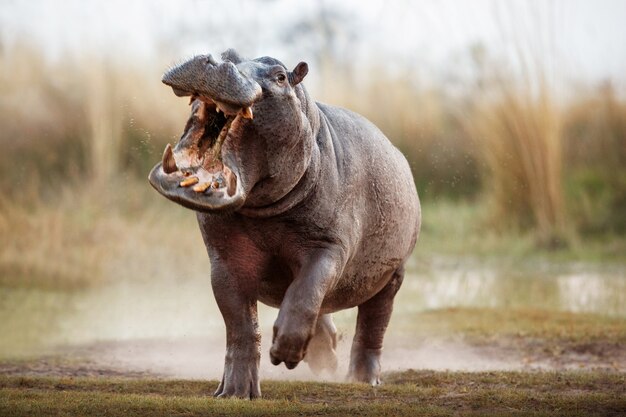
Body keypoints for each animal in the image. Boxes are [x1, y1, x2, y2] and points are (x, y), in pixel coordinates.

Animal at [147, 48, 420, 396]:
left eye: (279, 76)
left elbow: (307, 290)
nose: (215, 62)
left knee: (373, 325)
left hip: (393, 275)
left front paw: (286, 353)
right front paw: (234, 392)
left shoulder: (328, 246)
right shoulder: (224, 260)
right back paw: (325, 356)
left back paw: (363, 378)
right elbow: (240, 326)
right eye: (227, 53)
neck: (263, 210)